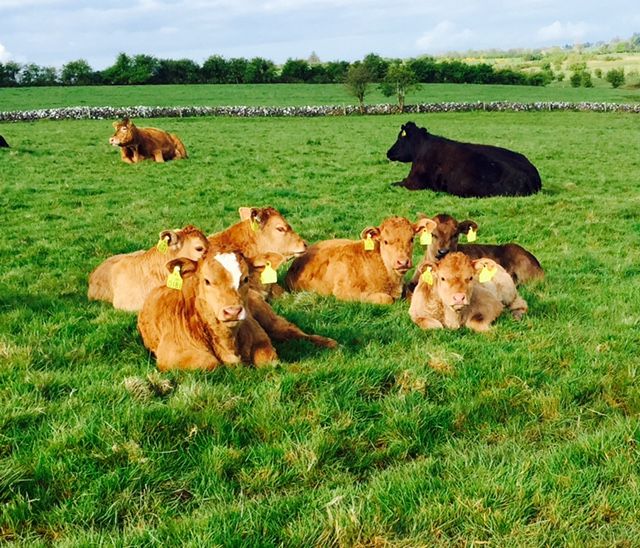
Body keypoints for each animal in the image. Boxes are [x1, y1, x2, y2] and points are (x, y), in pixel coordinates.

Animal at [138, 252, 278, 371]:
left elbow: (269, 360)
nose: (233, 311)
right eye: (207, 281)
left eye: (246, 279)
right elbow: (210, 362)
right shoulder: (172, 355)